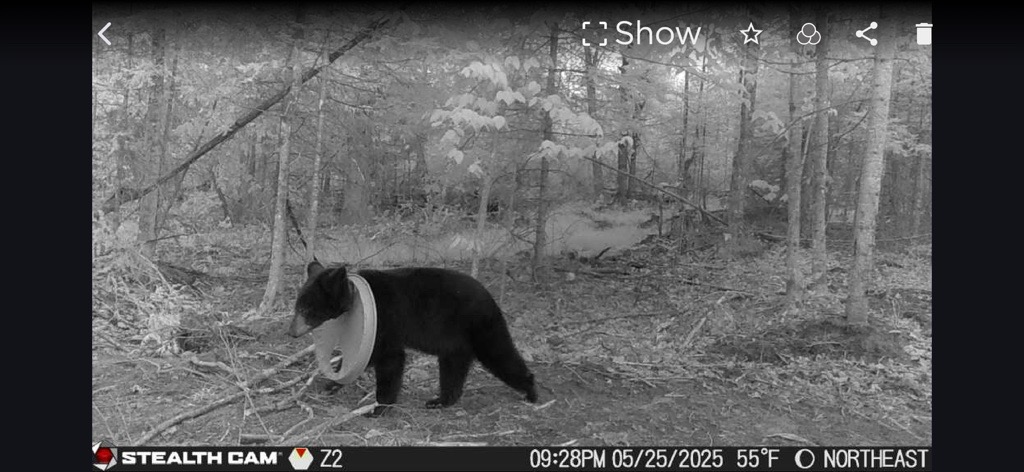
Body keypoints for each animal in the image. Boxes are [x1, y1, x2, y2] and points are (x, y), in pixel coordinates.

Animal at [288, 261, 538, 417]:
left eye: (306, 309)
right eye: (297, 306)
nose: (291, 331)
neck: (353, 296)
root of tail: (490, 297)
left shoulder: (385, 321)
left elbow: (390, 360)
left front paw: (378, 408)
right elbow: (364, 357)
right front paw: (332, 383)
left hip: (480, 326)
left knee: (500, 354)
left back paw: (531, 391)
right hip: (455, 341)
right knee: (453, 368)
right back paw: (440, 400)